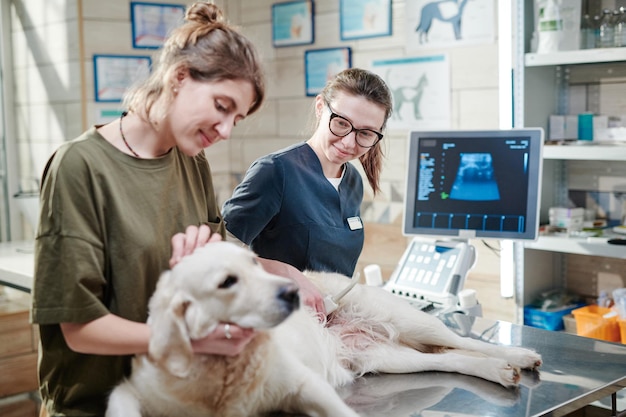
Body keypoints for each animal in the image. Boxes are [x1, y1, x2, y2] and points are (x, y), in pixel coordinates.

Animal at [105, 240, 540, 416]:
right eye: (228, 280)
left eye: (255, 263)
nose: (291, 294)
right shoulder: (135, 388)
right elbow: (120, 403)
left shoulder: (301, 382)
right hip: (387, 358)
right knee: (450, 359)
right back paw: (500, 371)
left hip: (409, 319)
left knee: (459, 340)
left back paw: (518, 356)